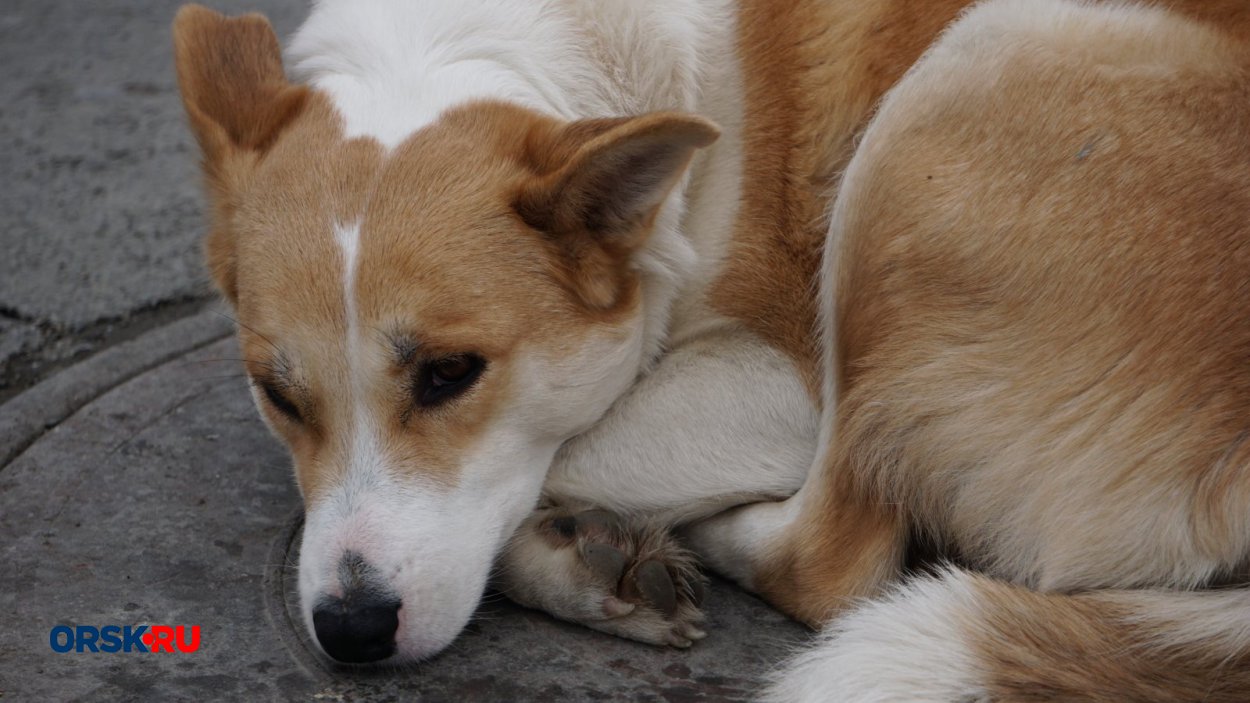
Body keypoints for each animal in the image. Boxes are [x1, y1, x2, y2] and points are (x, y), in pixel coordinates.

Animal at [173, 0, 1250, 695]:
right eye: (278, 393)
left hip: (968, 79)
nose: (350, 631)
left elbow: (561, 451)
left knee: (832, 561)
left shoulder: (779, 381)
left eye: (450, 374)